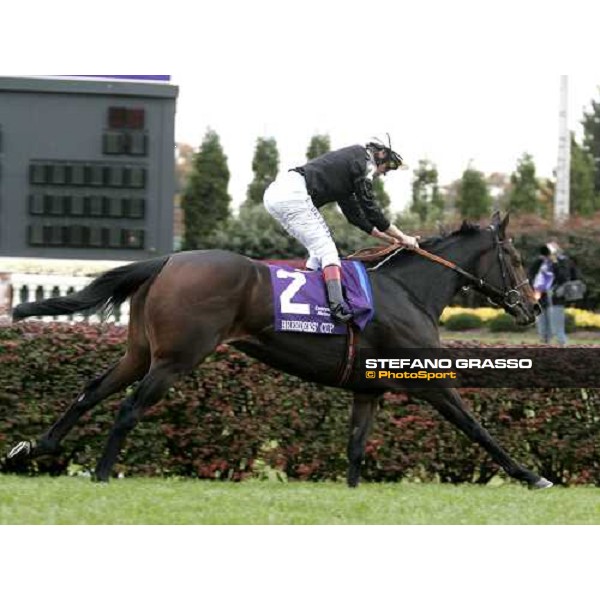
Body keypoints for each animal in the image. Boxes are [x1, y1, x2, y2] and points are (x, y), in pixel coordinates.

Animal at [4, 211, 552, 488]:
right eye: (514, 256)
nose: (531, 305)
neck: (408, 290)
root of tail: (167, 261)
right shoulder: (425, 379)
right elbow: (475, 426)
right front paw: (530, 475)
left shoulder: (369, 388)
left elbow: (356, 446)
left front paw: (352, 492)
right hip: (177, 358)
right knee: (129, 407)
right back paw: (100, 473)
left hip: (141, 351)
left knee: (92, 390)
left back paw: (32, 448)